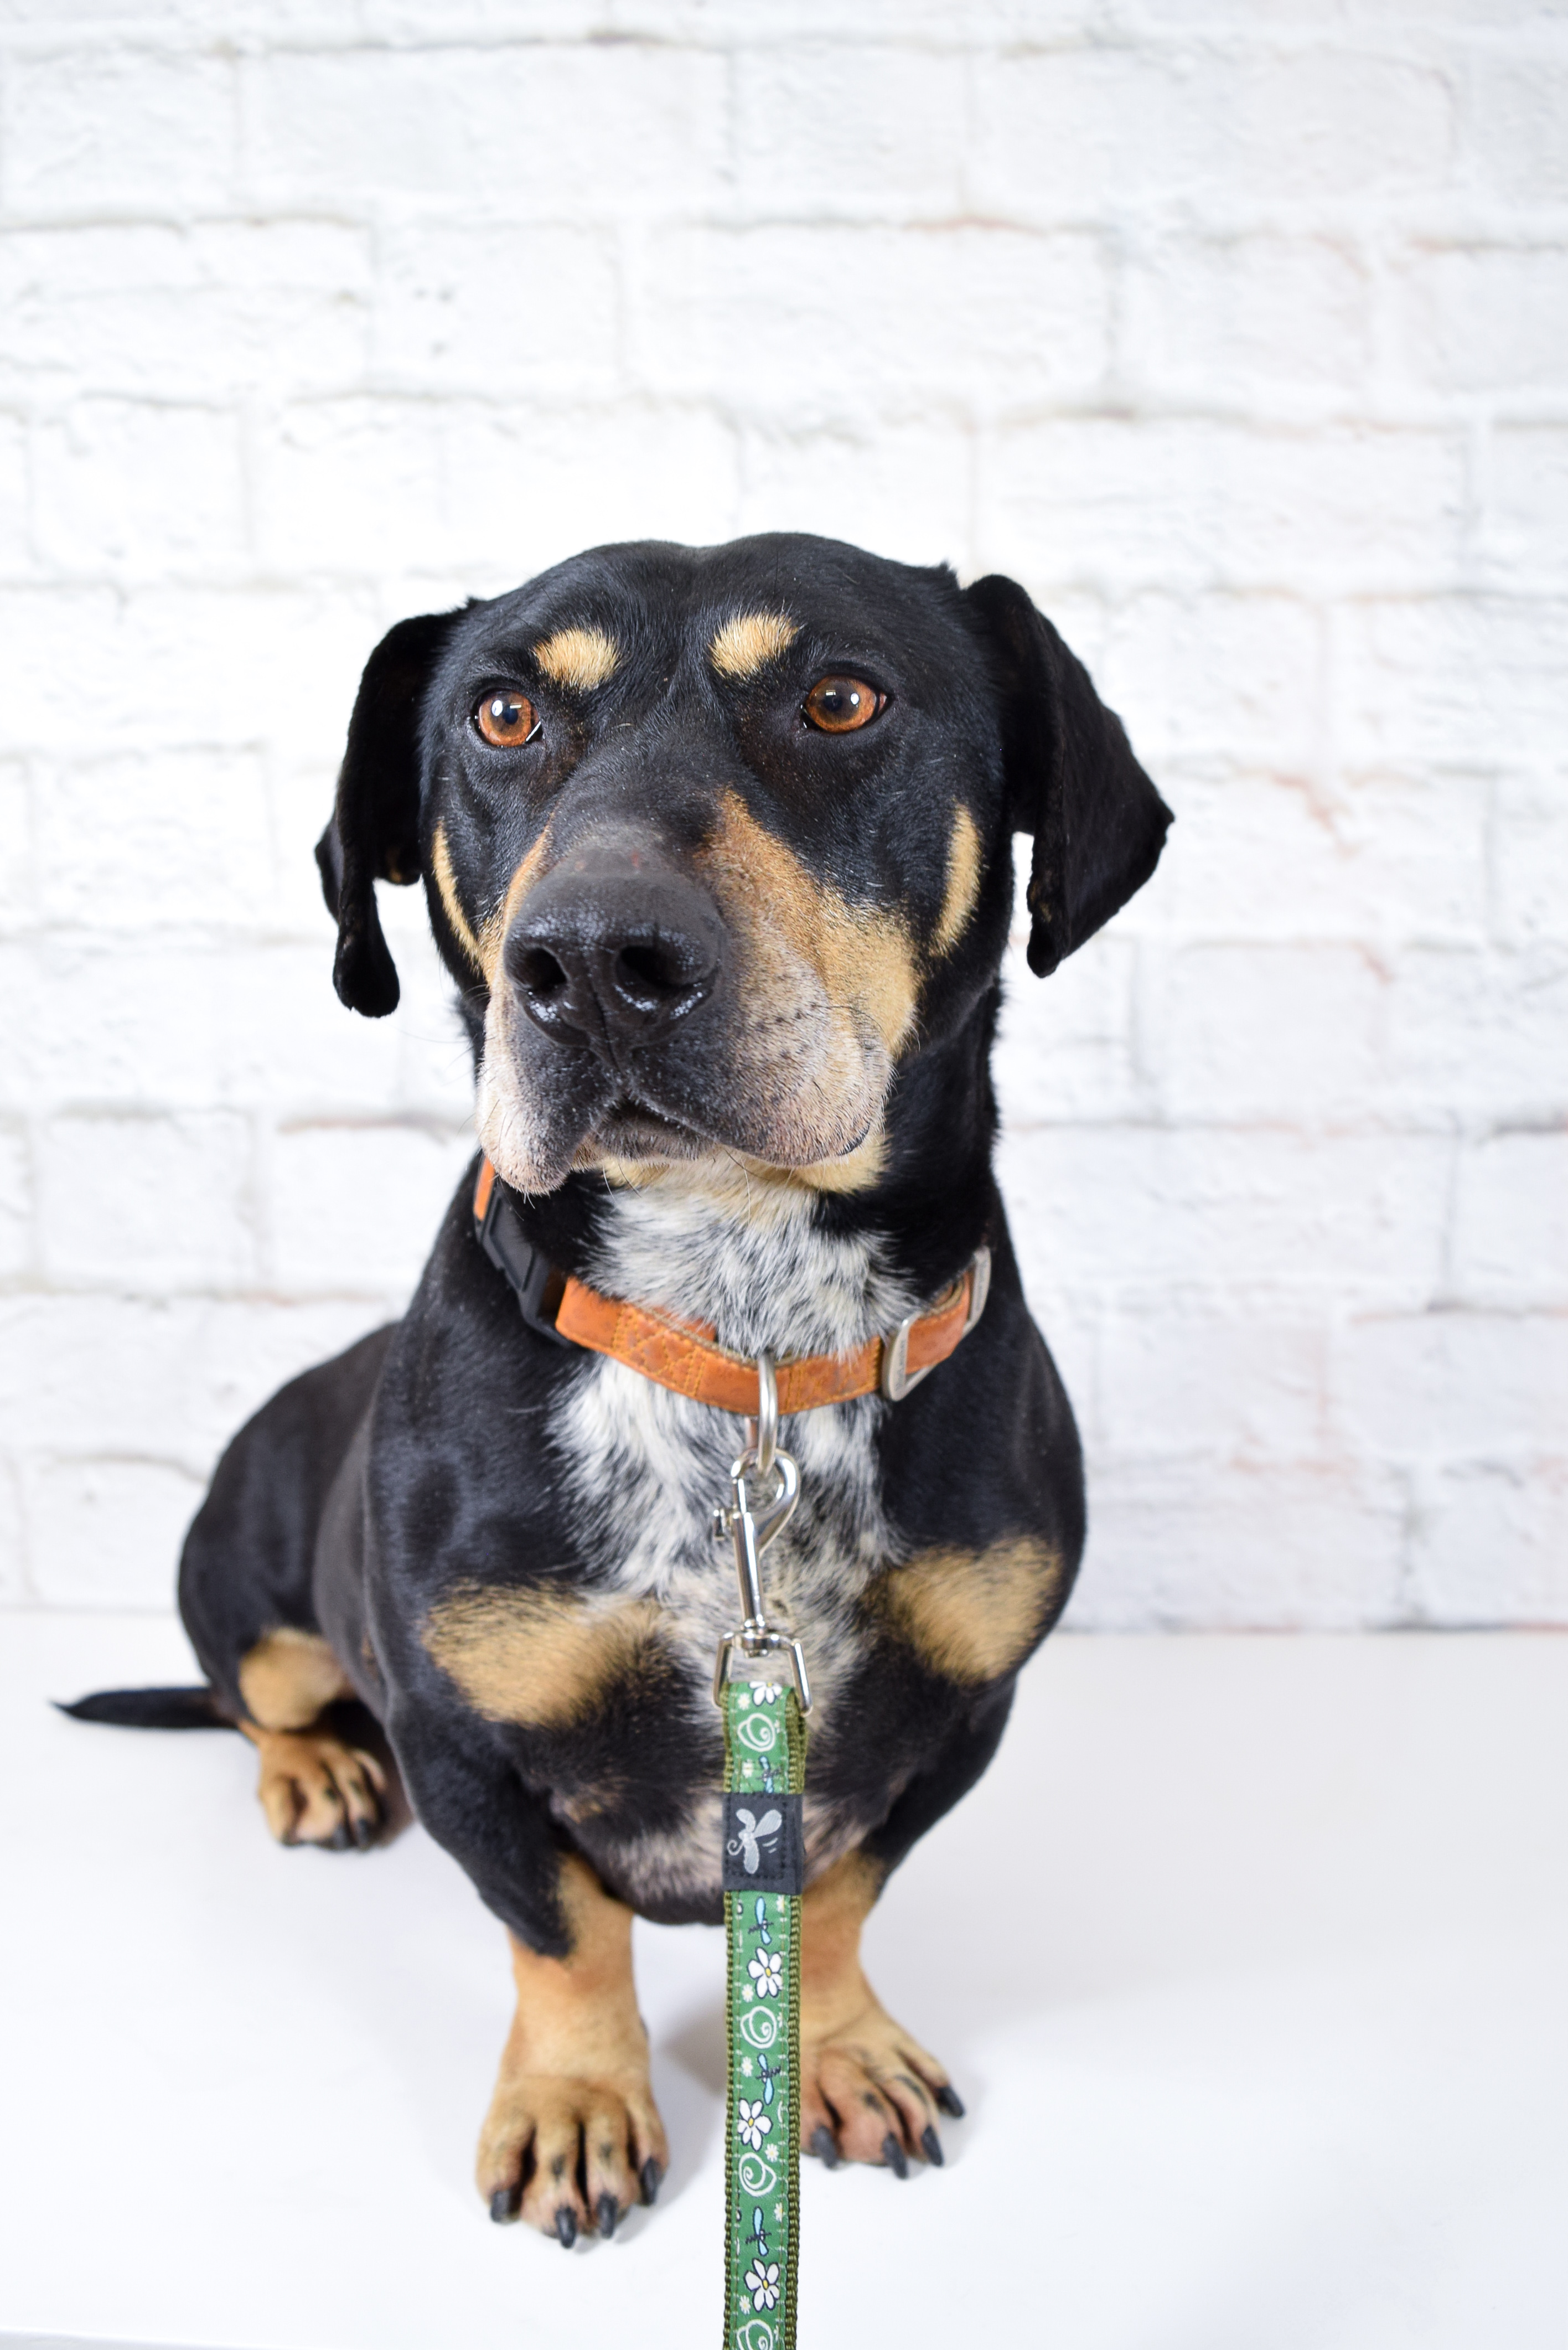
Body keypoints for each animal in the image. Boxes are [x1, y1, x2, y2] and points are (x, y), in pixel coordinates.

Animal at [70, 533, 1170, 2245]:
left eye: (840, 698)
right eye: (504, 714)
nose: (592, 959)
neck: (744, 1338)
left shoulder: (959, 1712)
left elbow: (838, 1892)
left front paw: (830, 2043)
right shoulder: (460, 1738)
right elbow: (563, 1932)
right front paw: (578, 2100)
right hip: (238, 1572)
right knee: (263, 1694)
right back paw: (316, 1766)